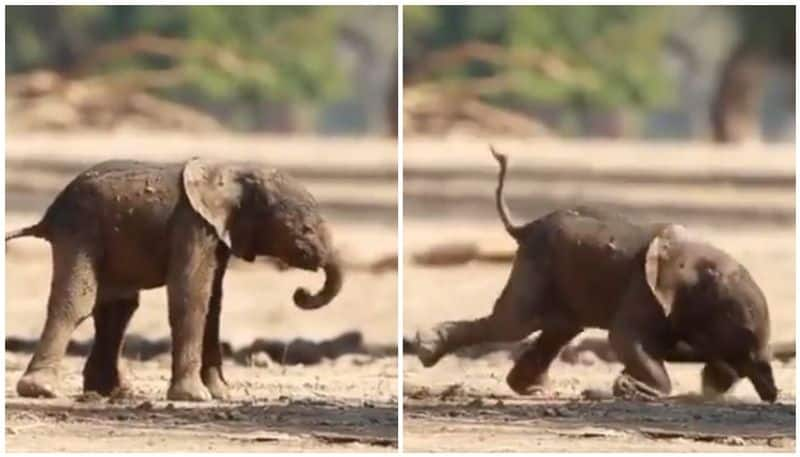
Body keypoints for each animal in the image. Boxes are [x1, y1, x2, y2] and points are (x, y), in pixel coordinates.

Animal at [6, 157, 344, 400]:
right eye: (305, 229)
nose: (300, 292)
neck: (236, 171)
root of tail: (48, 215)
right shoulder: (192, 224)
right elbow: (192, 296)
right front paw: (196, 397)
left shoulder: (218, 235)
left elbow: (213, 304)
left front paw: (221, 394)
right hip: (79, 231)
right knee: (78, 301)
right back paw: (42, 390)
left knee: (118, 309)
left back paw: (112, 392)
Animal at [416, 146, 780, 402]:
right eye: (739, 328)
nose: (772, 396)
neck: (694, 258)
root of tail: (525, 226)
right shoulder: (643, 289)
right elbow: (625, 338)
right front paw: (630, 387)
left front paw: (628, 386)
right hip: (538, 264)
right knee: (515, 325)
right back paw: (427, 350)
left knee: (558, 330)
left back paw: (533, 390)